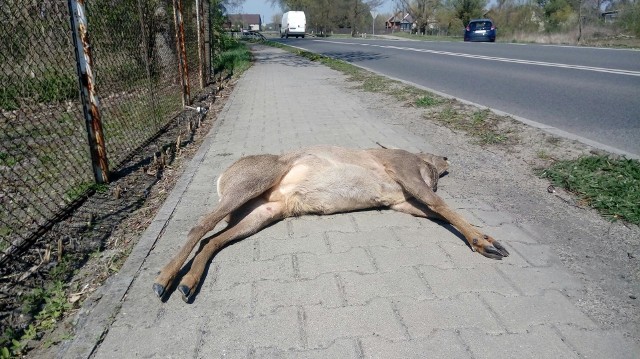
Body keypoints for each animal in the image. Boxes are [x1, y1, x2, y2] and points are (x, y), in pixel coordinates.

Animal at [152, 146, 508, 300]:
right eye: (436, 157)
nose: (447, 157)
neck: (423, 164)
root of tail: (221, 178)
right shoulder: (404, 172)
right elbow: (440, 204)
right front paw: (486, 242)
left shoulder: (401, 201)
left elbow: (438, 212)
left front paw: (486, 236)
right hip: (251, 183)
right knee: (199, 226)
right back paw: (165, 278)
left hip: (264, 212)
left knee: (212, 239)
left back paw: (188, 282)